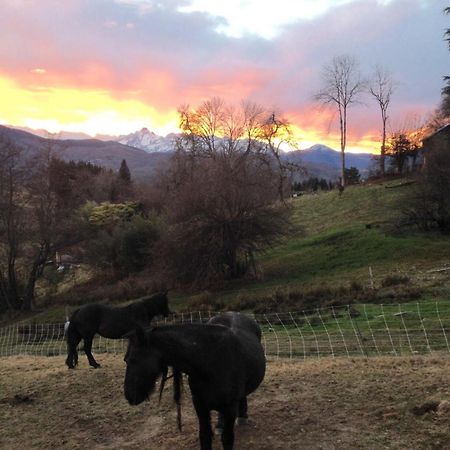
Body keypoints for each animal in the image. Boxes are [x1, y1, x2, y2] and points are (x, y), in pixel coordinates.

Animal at [123, 312, 266, 450]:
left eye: (132, 359)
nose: (129, 396)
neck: (212, 361)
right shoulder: (199, 404)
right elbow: (205, 436)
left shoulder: (230, 407)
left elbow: (227, 439)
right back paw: (220, 425)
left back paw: (242, 417)